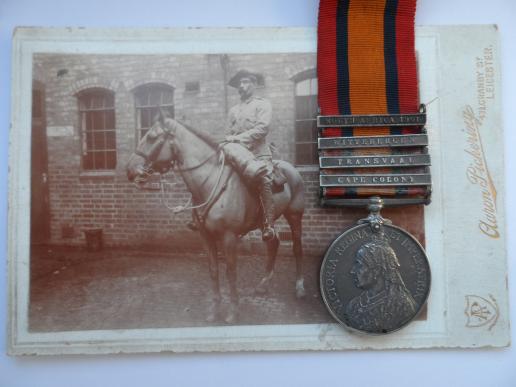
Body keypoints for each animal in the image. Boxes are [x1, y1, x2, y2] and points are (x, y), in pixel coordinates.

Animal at [126, 116, 304, 324]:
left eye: (151, 137)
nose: (129, 170)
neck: (209, 182)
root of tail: (290, 168)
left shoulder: (229, 237)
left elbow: (231, 272)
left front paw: (233, 311)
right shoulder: (205, 236)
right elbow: (213, 270)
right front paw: (214, 309)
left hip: (295, 216)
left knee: (297, 248)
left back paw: (299, 287)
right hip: (266, 222)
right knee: (273, 243)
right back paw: (264, 284)